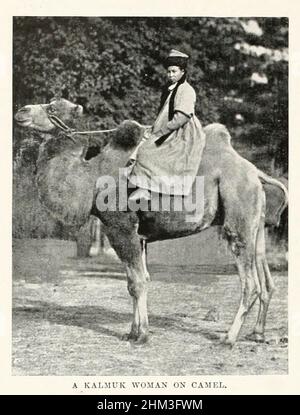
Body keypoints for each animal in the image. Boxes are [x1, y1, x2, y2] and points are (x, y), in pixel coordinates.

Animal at [14, 98, 288, 348]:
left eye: (52, 107)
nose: (22, 110)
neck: (92, 177)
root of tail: (254, 172)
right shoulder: (140, 236)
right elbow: (135, 281)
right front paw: (131, 332)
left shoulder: (121, 228)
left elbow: (138, 283)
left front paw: (142, 336)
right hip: (256, 224)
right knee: (263, 274)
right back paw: (257, 334)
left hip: (237, 215)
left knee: (249, 282)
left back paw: (228, 339)